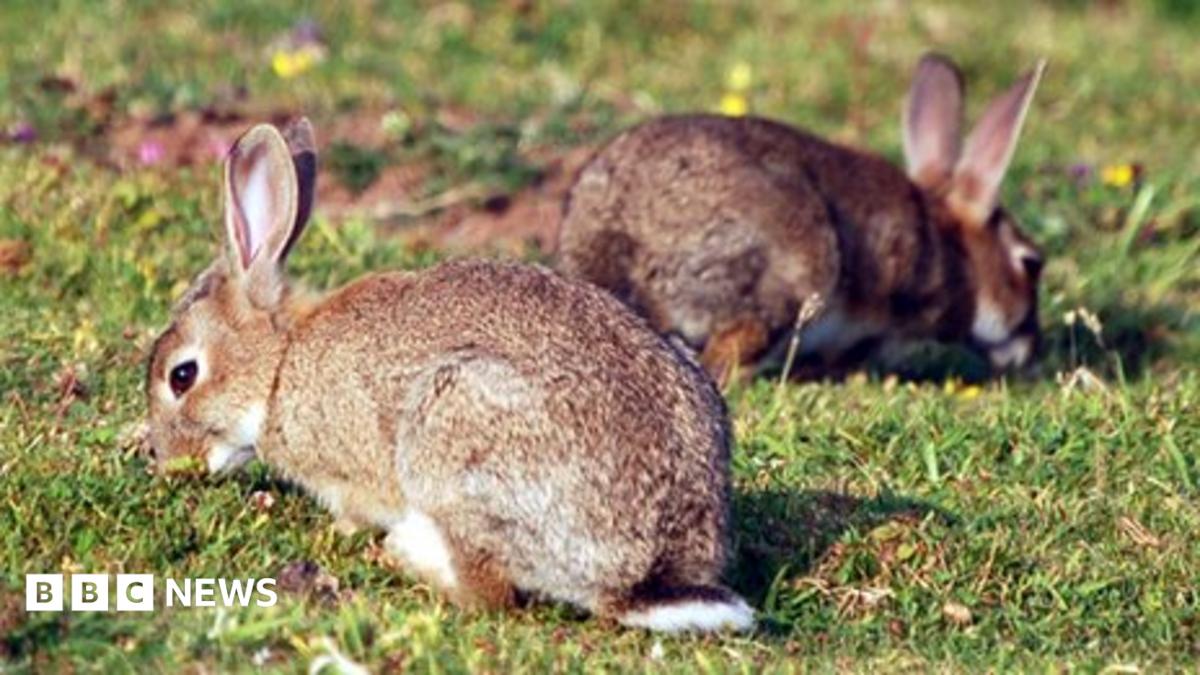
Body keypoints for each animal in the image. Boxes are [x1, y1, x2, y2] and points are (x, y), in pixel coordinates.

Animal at [143, 118, 754, 634]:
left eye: (182, 376)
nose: (165, 462)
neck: (279, 363)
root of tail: (648, 573)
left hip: (453, 434)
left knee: (489, 592)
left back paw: (408, 554)